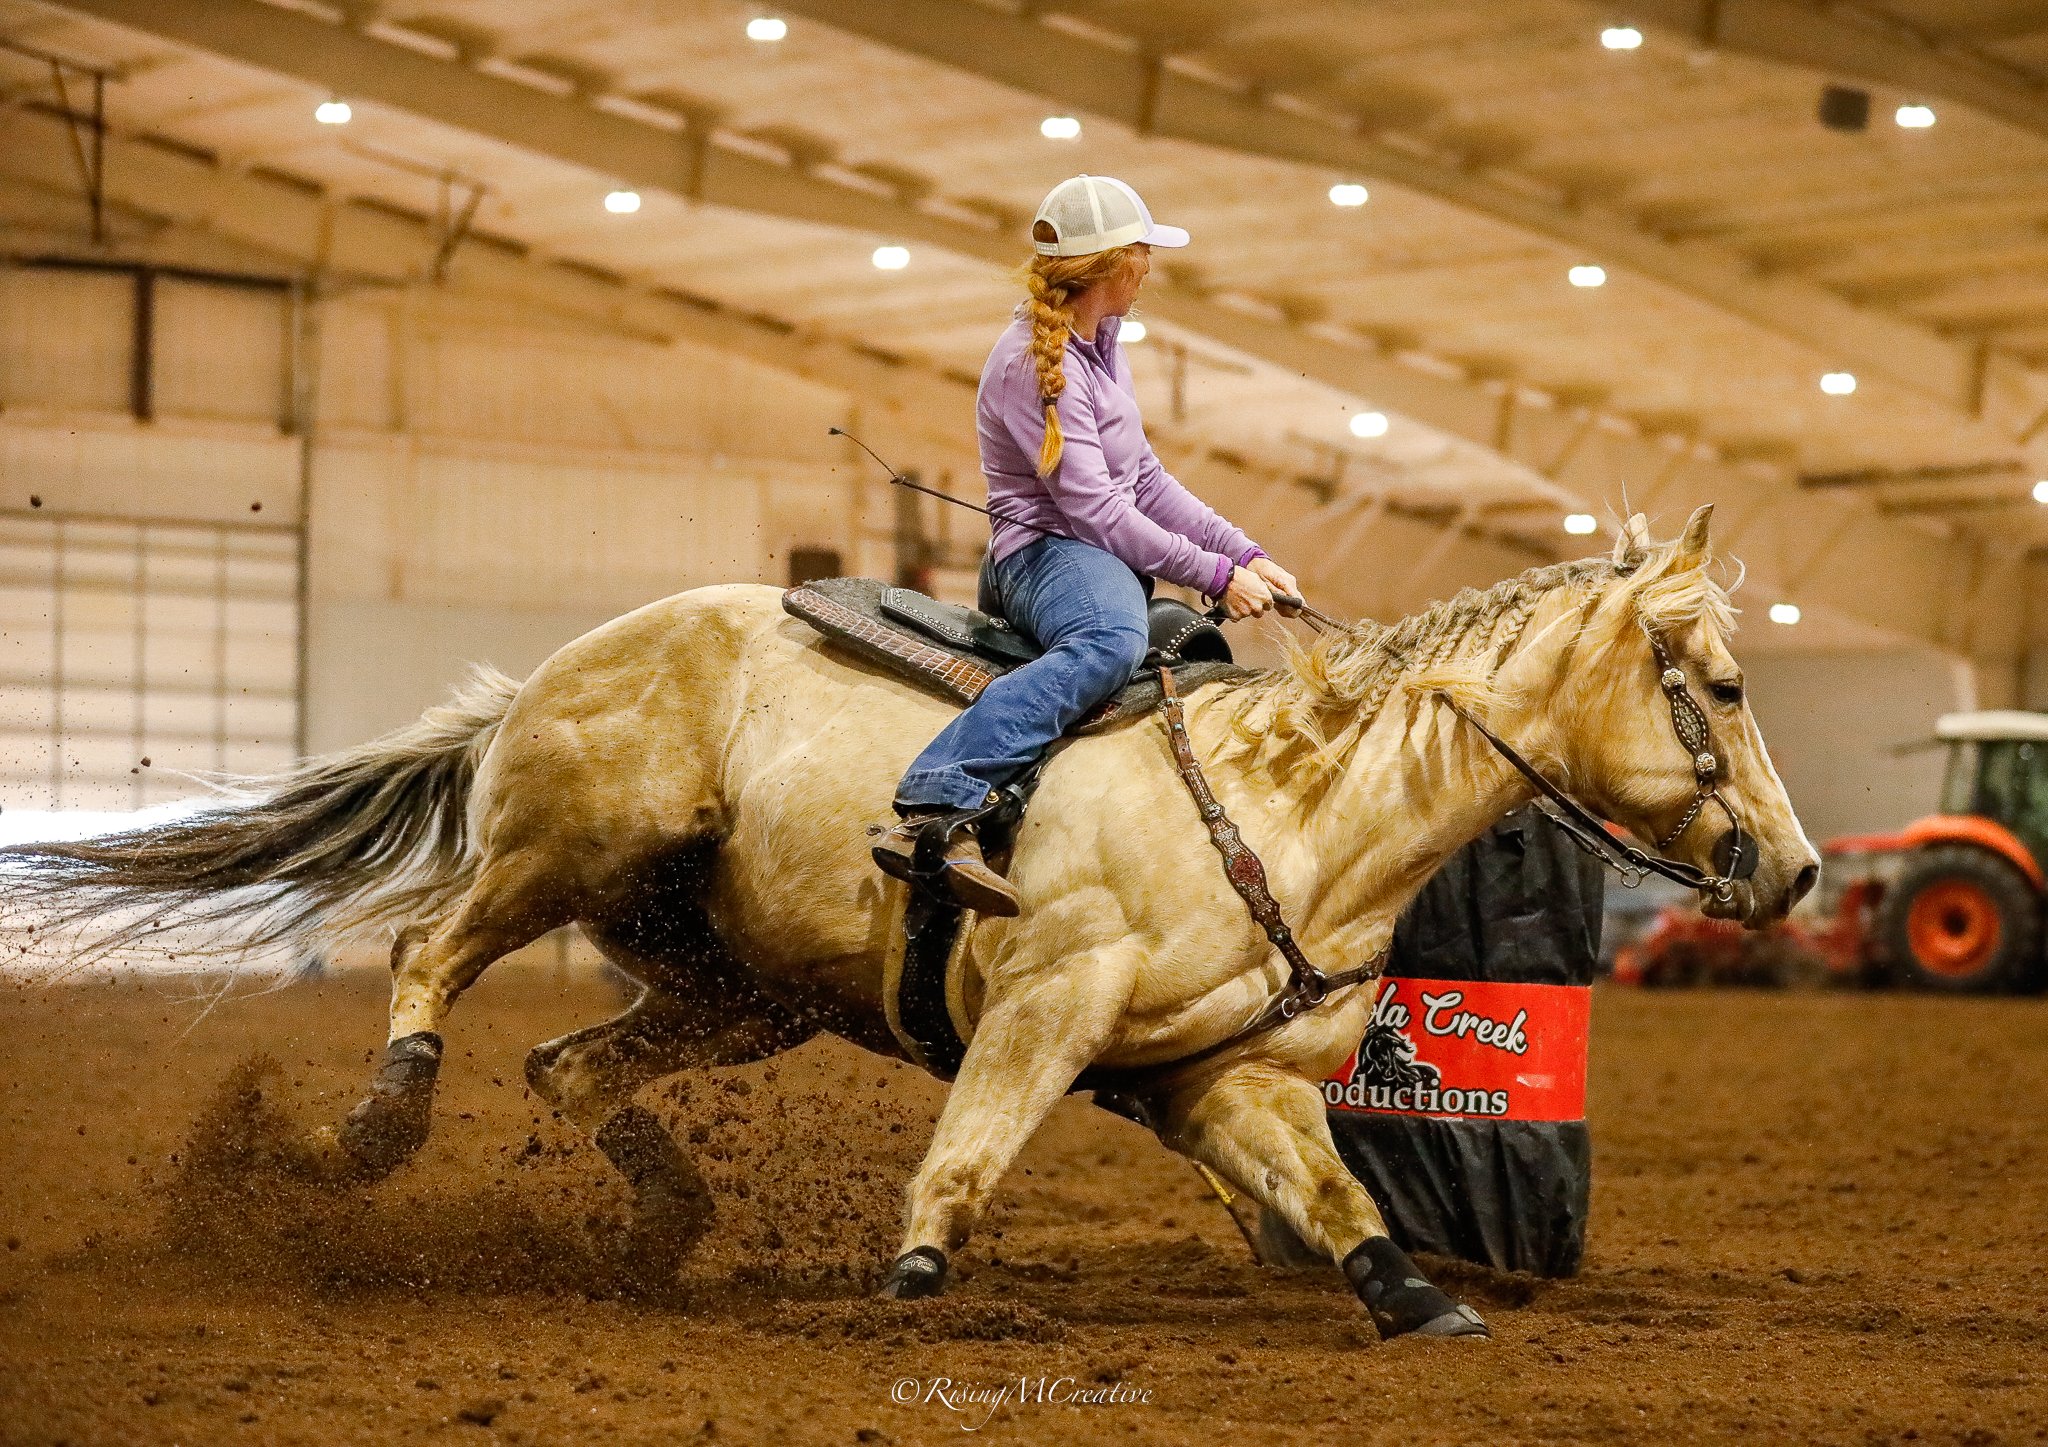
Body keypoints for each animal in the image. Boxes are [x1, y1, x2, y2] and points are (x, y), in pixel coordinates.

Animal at [2, 505, 1818, 1339]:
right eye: (1723, 684)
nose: (1796, 873)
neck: (1294, 799)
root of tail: (553, 666)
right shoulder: (1044, 1011)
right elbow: (970, 1151)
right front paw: (920, 1276)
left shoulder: (1215, 1077)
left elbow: (1333, 1192)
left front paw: (1414, 1298)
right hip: (568, 845)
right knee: (425, 956)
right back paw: (377, 1126)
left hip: (737, 986)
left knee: (575, 1071)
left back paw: (661, 1227)